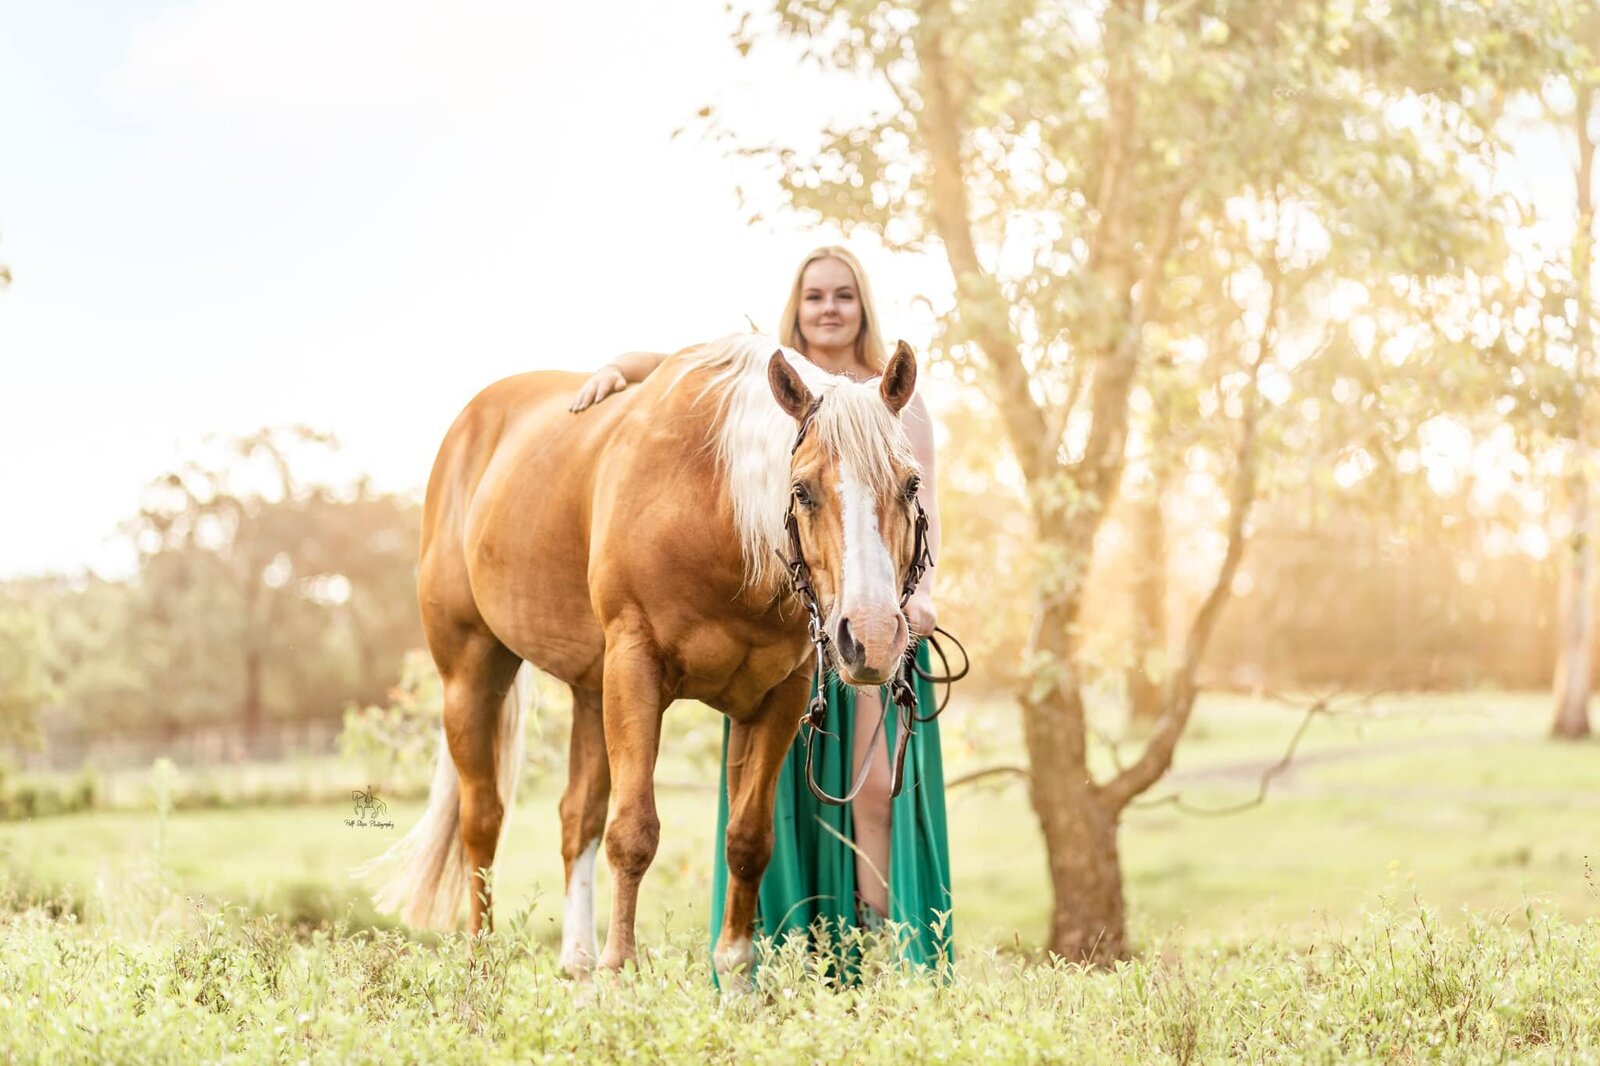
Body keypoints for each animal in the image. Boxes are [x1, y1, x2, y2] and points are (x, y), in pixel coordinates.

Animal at [356, 334, 921, 979]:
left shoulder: (781, 695)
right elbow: (633, 832)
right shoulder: (635, 667)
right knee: (483, 819)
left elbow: (749, 840)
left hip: (589, 690)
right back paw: (485, 960)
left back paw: (576, 962)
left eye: (910, 485)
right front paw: (618, 972)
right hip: (472, 671)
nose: (871, 637)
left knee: (576, 818)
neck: (714, 506)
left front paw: (734, 975)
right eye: (800, 490)